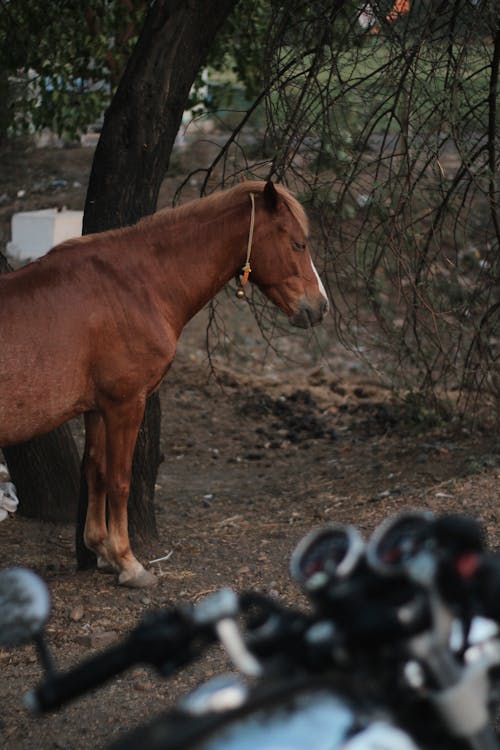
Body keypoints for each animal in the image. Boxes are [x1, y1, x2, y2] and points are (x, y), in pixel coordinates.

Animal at [0, 181, 328, 588]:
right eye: (298, 243)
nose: (320, 306)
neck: (132, 286)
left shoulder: (97, 408)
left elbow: (96, 470)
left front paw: (101, 549)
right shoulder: (125, 404)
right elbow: (120, 479)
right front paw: (128, 562)